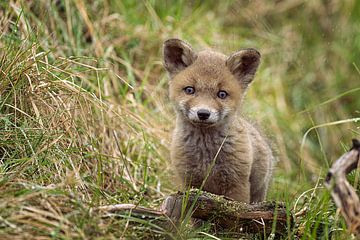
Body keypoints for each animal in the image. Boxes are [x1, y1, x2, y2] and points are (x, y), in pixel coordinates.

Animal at [163, 38, 272, 203]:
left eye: (222, 94)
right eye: (190, 90)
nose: (203, 113)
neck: (205, 155)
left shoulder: (237, 184)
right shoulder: (188, 181)